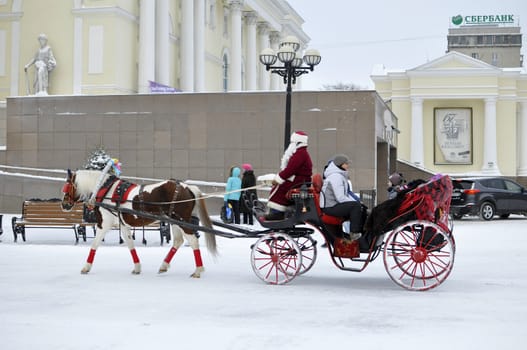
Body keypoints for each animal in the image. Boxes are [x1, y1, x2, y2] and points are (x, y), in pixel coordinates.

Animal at [60, 168, 218, 278]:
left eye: (68, 186)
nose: (64, 204)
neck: (105, 189)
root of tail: (188, 187)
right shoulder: (123, 225)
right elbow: (130, 244)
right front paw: (137, 268)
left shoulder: (103, 224)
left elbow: (94, 245)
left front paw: (86, 267)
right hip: (174, 221)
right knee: (178, 241)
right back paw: (164, 265)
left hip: (181, 221)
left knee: (193, 241)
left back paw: (198, 270)